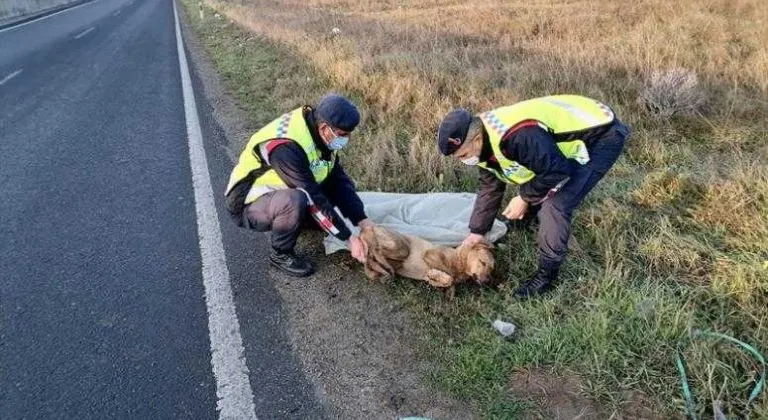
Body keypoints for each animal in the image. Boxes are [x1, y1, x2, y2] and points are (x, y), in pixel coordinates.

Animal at [358, 226, 496, 292]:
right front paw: (435, 276)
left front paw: (435, 280)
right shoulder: (430, 254)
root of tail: (366, 229)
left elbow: (449, 281)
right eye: (482, 262)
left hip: (381, 264)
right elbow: (449, 277)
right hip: (402, 248)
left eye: (491, 269)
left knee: (371, 261)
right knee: (376, 250)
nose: (487, 281)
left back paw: (384, 271)